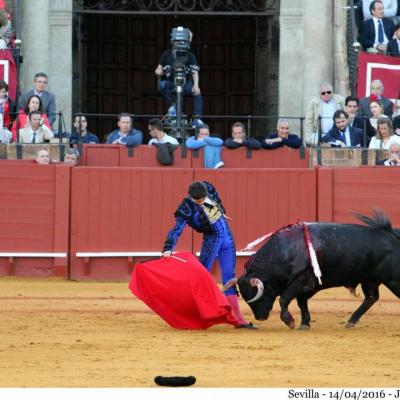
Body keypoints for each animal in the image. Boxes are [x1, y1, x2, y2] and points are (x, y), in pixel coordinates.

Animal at [223, 211, 400, 330]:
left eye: (257, 294)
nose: (260, 317)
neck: (287, 251)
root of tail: (393, 235)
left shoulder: (303, 282)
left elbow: (284, 299)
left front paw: (290, 321)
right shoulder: (307, 286)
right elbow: (301, 303)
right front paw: (304, 323)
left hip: (393, 279)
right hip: (370, 280)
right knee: (371, 298)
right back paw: (351, 321)